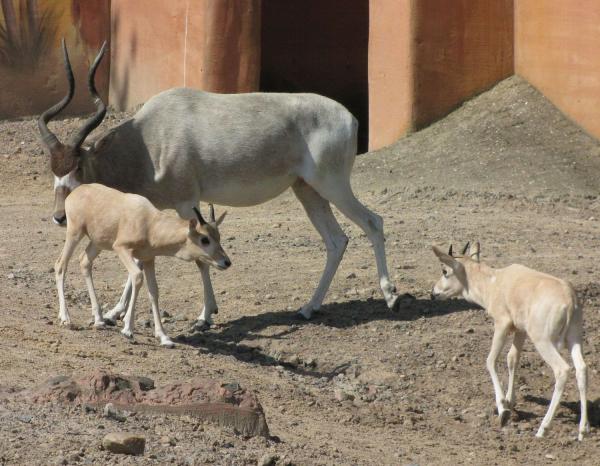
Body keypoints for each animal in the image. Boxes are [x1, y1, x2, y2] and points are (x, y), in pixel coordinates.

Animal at [55, 184, 230, 348]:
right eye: (205, 239)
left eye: (218, 236)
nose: (226, 262)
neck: (149, 224)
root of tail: (78, 190)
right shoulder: (121, 248)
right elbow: (137, 277)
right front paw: (127, 330)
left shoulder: (148, 258)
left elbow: (154, 291)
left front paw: (164, 337)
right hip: (75, 233)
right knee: (60, 265)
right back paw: (66, 318)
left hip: (97, 242)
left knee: (84, 261)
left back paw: (99, 319)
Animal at [432, 242, 592, 442]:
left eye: (444, 270)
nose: (433, 293)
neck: (494, 282)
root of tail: (569, 299)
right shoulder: (520, 330)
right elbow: (512, 358)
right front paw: (511, 401)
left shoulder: (502, 324)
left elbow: (490, 360)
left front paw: (503, 409)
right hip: (574, 338)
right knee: (582, 368)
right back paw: (583, 430)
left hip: (542, 340)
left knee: (562, 370)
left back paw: (543, 429)